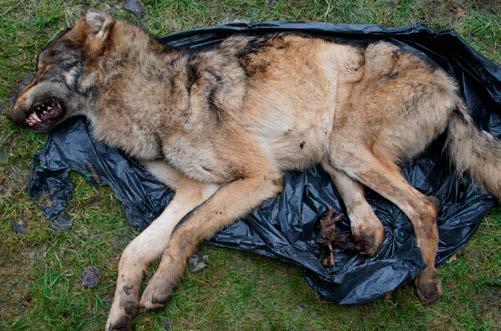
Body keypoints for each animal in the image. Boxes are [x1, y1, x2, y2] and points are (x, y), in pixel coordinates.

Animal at [5, 11, 498, 331]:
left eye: (42, 67)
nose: (8, 113)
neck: (155, 94)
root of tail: (452, 86)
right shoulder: (194, 190)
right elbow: (134, 250)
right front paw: (121, 310)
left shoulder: (256, 179)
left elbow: (183, 233)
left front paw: (160, 286)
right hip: (331, 149)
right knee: (374, 217)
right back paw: (355, 237)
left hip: (345, 146)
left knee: (425, 205)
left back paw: (426, 281)